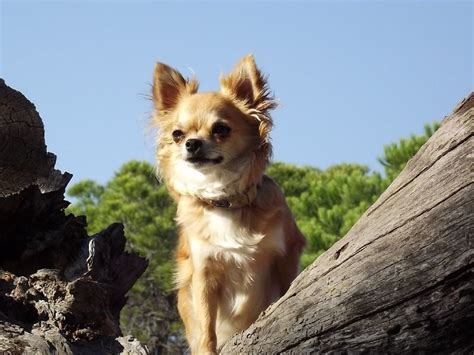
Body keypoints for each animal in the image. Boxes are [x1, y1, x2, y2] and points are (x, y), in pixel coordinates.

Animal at [153, 54, 308, 354]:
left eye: (221, 129)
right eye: (177, 134)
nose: (191, 143)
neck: (225, 200)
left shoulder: (286, 254)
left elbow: (287, 290)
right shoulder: (203, 272)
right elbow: (206, 326)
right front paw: (207, 349)